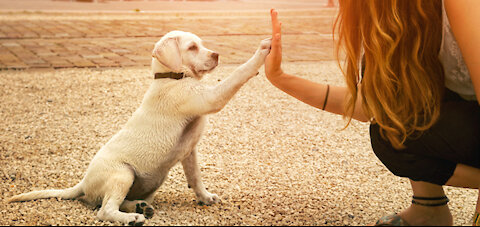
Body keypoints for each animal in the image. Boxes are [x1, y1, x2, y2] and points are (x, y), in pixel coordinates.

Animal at [8, 30, 270, 225]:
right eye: (192, 47)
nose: (216, 55)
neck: (171, 77)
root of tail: (83, 183)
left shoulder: (190, 150)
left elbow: (195, 177)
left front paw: (205, 197)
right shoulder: (211, 98)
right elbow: (238, 74)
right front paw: (262, 51)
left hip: (151, 181)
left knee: (114, 202)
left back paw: (141, 207)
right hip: (123, 173)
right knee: (104, 210)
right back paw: (133, 217)